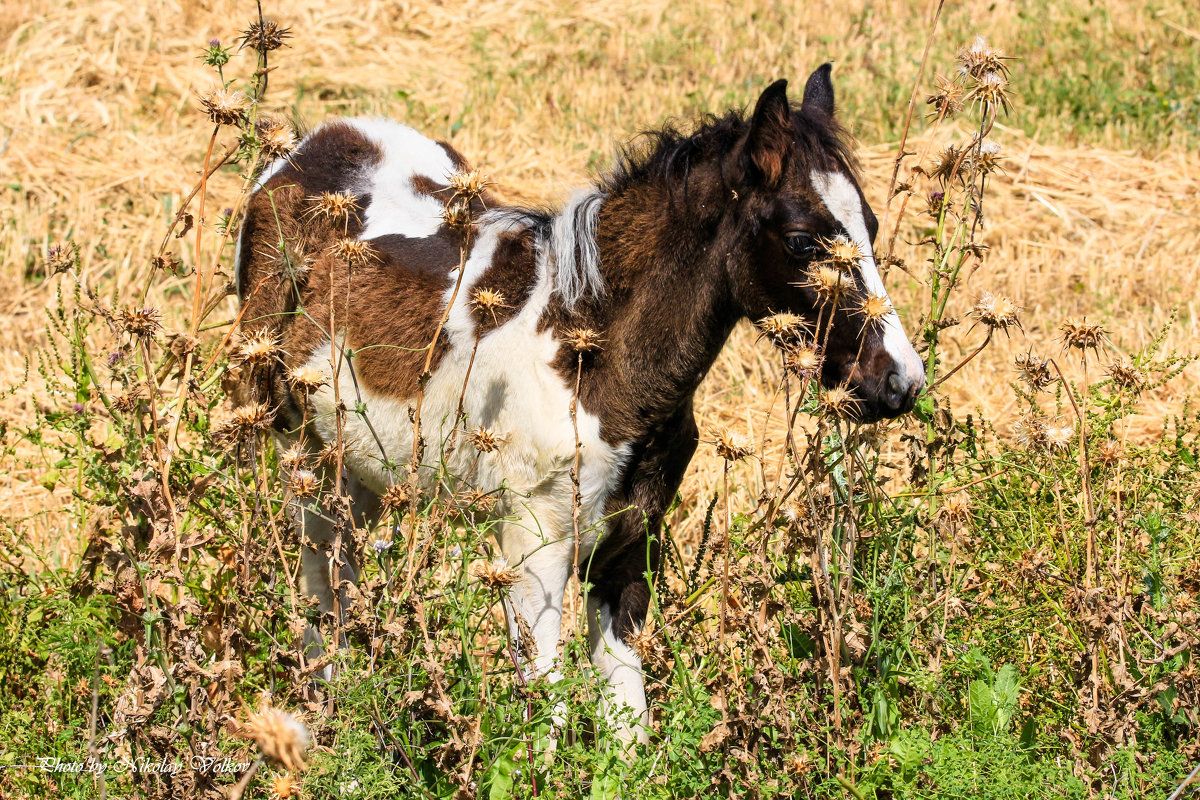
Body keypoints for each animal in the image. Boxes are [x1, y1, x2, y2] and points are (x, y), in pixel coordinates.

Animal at [234, 65, 926, 748]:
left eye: (871, 226)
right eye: (803, 242)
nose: (899, 382)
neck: (589, 352)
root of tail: (316, 143)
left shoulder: (628, 550)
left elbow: (628, 727)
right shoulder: (532, 550)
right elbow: (546, 715)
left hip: (364, 470)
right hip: (300, 455)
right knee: (320, 583)